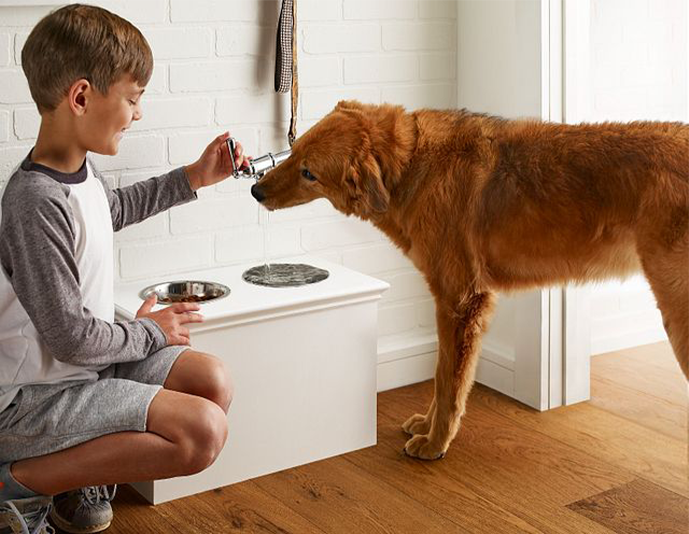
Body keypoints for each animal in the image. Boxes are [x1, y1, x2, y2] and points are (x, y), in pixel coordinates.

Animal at [250, 100, 688, 460]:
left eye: (309, 173)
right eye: (294, 152)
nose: (255, 190)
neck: (411, 165)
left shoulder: (459, 301)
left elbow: (449, 383)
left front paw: (434, 443)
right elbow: (440, 376)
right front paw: (427, 428)